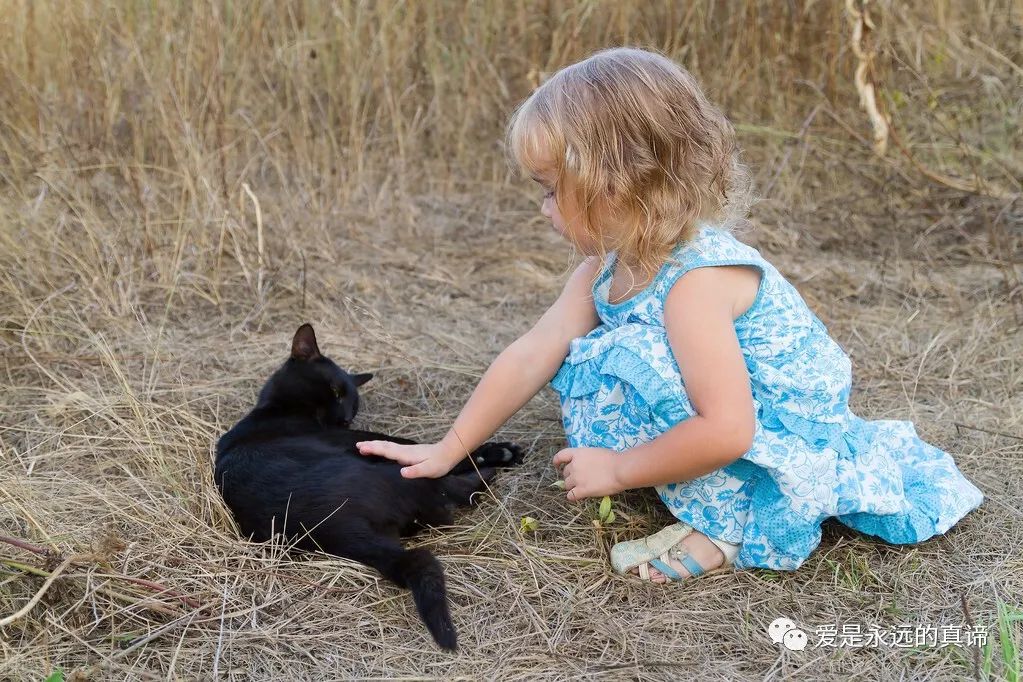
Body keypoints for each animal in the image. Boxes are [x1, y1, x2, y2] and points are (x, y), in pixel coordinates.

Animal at [213, 325, 519, 650]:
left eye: (354, 405)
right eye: (335, 391)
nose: (346, 418)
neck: (275, 409)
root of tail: (343, 530)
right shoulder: (362, 440)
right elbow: (423, 447)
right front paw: (497, 452)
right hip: (395, 472)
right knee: (447, 490)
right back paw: (487, 472)